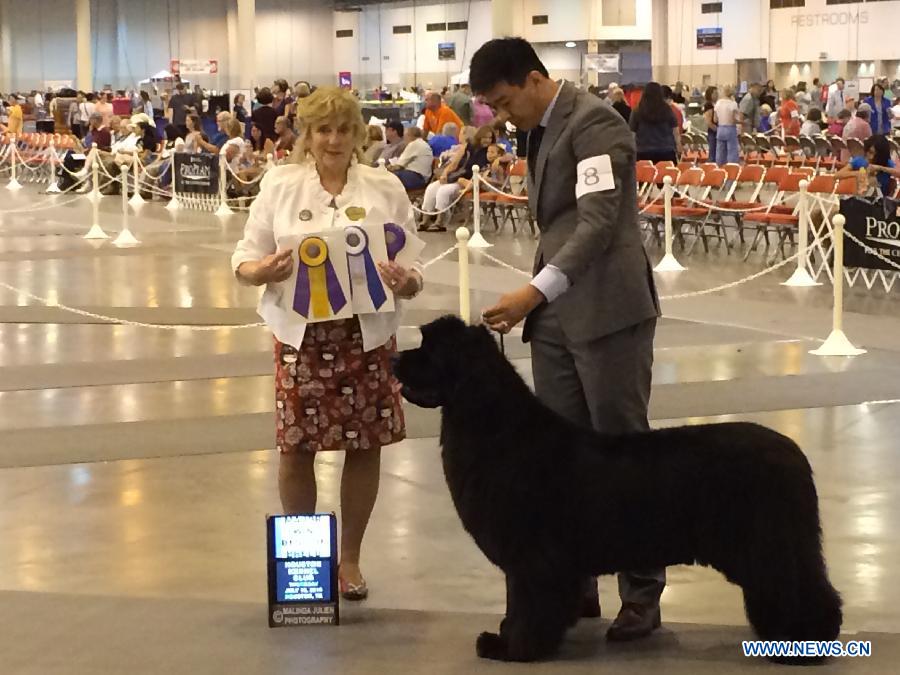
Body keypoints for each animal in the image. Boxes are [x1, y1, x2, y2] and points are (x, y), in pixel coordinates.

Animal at [394, 316, 844, 664]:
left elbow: (526, 604)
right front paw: (508, 638)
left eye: (428, 350)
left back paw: (802, 645)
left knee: (800, 588)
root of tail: (793, 452)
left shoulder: (532, 557)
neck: (495, 428)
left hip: (769, 543)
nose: (394, 357)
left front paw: (512, 648)